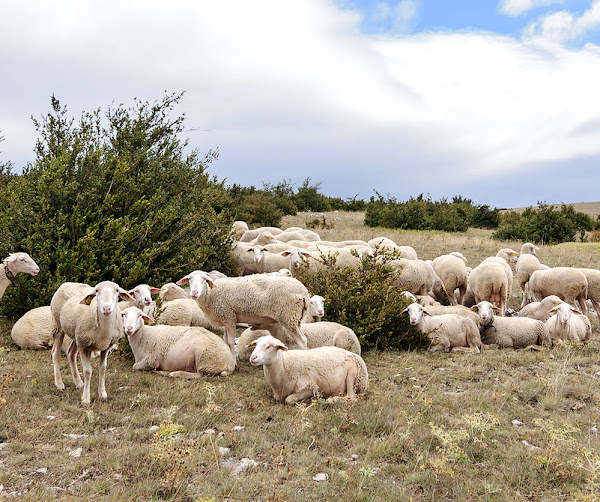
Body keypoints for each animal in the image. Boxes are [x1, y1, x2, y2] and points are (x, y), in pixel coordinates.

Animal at [176, 272, 310, 358]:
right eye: (189, 279)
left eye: (204, 280)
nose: (194, 292)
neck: (210, 295)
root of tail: (304, 292)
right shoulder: (226, 319)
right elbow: (225, 340)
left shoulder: (229, 316)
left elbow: (230, 341)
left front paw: (233, 363)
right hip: (294, 319)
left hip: (289, 316)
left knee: (302, 341)